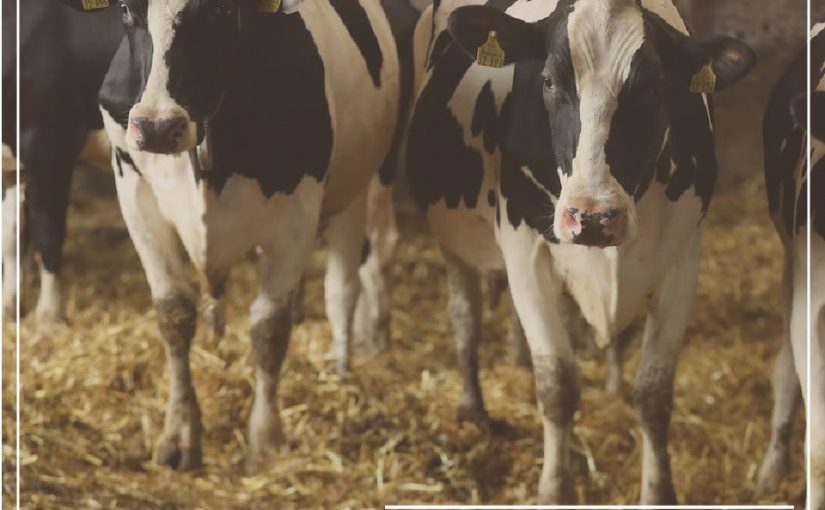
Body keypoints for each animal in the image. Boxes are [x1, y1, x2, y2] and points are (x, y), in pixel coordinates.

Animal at [57, 0, 407, 470]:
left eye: (221, 10)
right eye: (127, 10)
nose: (156, 126)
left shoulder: (298, 207)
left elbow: (269, 327)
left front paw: (266, 439)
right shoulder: (134, 191)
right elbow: (174, 312)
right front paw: (179, 433)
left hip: (365, 183)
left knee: (345, 284)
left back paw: (343, 369)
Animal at [407, 0, 755, 502]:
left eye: (653, 86)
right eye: (549, 81)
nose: (591, 216)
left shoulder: (683, 256)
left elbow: (653, 394)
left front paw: (658, 491)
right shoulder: (525, 251)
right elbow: (558, 385)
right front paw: (555, 490)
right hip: (452, 240)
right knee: (465, 318)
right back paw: (474, 409)